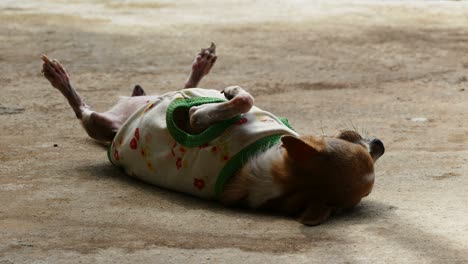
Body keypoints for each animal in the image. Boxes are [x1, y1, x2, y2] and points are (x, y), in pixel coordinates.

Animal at [41, 42, 384, 225]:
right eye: (346, 139)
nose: (380, 144)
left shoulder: (193, 121)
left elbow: (235, 102)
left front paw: (229, 94)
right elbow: (245, 100)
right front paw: (228, 92)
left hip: (98, 123)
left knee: (82, 109)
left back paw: (59, 76)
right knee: (180, 87)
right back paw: (200, 67)